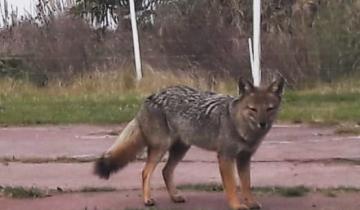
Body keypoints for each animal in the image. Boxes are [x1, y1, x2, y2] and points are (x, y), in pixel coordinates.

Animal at [94, 77, 286, 210]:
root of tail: (150, 97)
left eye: (270, 109)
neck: (238, 124)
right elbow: (232, 186)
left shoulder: (244, 158)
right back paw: (147, 200)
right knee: (145, 172)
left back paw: (174, 197)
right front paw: (237, 205)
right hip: (160, 149)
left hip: (181, 149)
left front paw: (251, 202)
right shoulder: (225, 157)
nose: (263, 124)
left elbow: (246, 185)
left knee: (165, 171)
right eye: (253, 109)